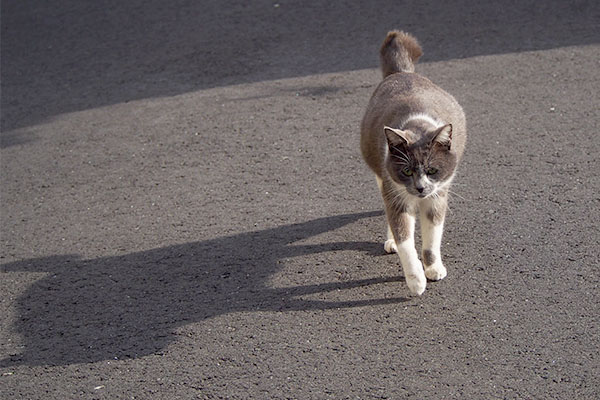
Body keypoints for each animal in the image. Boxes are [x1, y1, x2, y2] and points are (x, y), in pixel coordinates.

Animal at [358, 30, 466, 294]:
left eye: (432, 169)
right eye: (406, 170)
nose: (420, 187)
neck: (417, 124)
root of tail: (402, 73)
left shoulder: (438, 195)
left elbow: (432, 236)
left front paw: (434, 268)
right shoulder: (395, 191)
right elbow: (404, 239)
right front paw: (416, 280)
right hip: (380, 174)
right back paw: (390, 242)